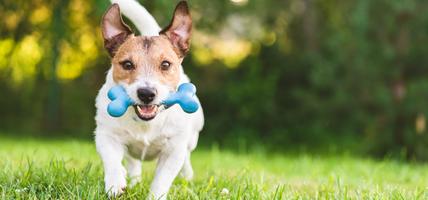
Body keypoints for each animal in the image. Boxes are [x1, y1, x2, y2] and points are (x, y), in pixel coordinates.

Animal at [95, 0, 204, 198]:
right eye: (127, 64)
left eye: (166, 64)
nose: (146, 93)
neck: (146, 122)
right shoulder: (106, 136)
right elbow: (112, 161)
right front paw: (115, 184)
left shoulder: (173, 150)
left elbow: (162, 180)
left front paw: (156, 195)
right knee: (133, 163)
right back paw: (133, 180)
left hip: (191, 138)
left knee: (186, 157)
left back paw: (187, 177)